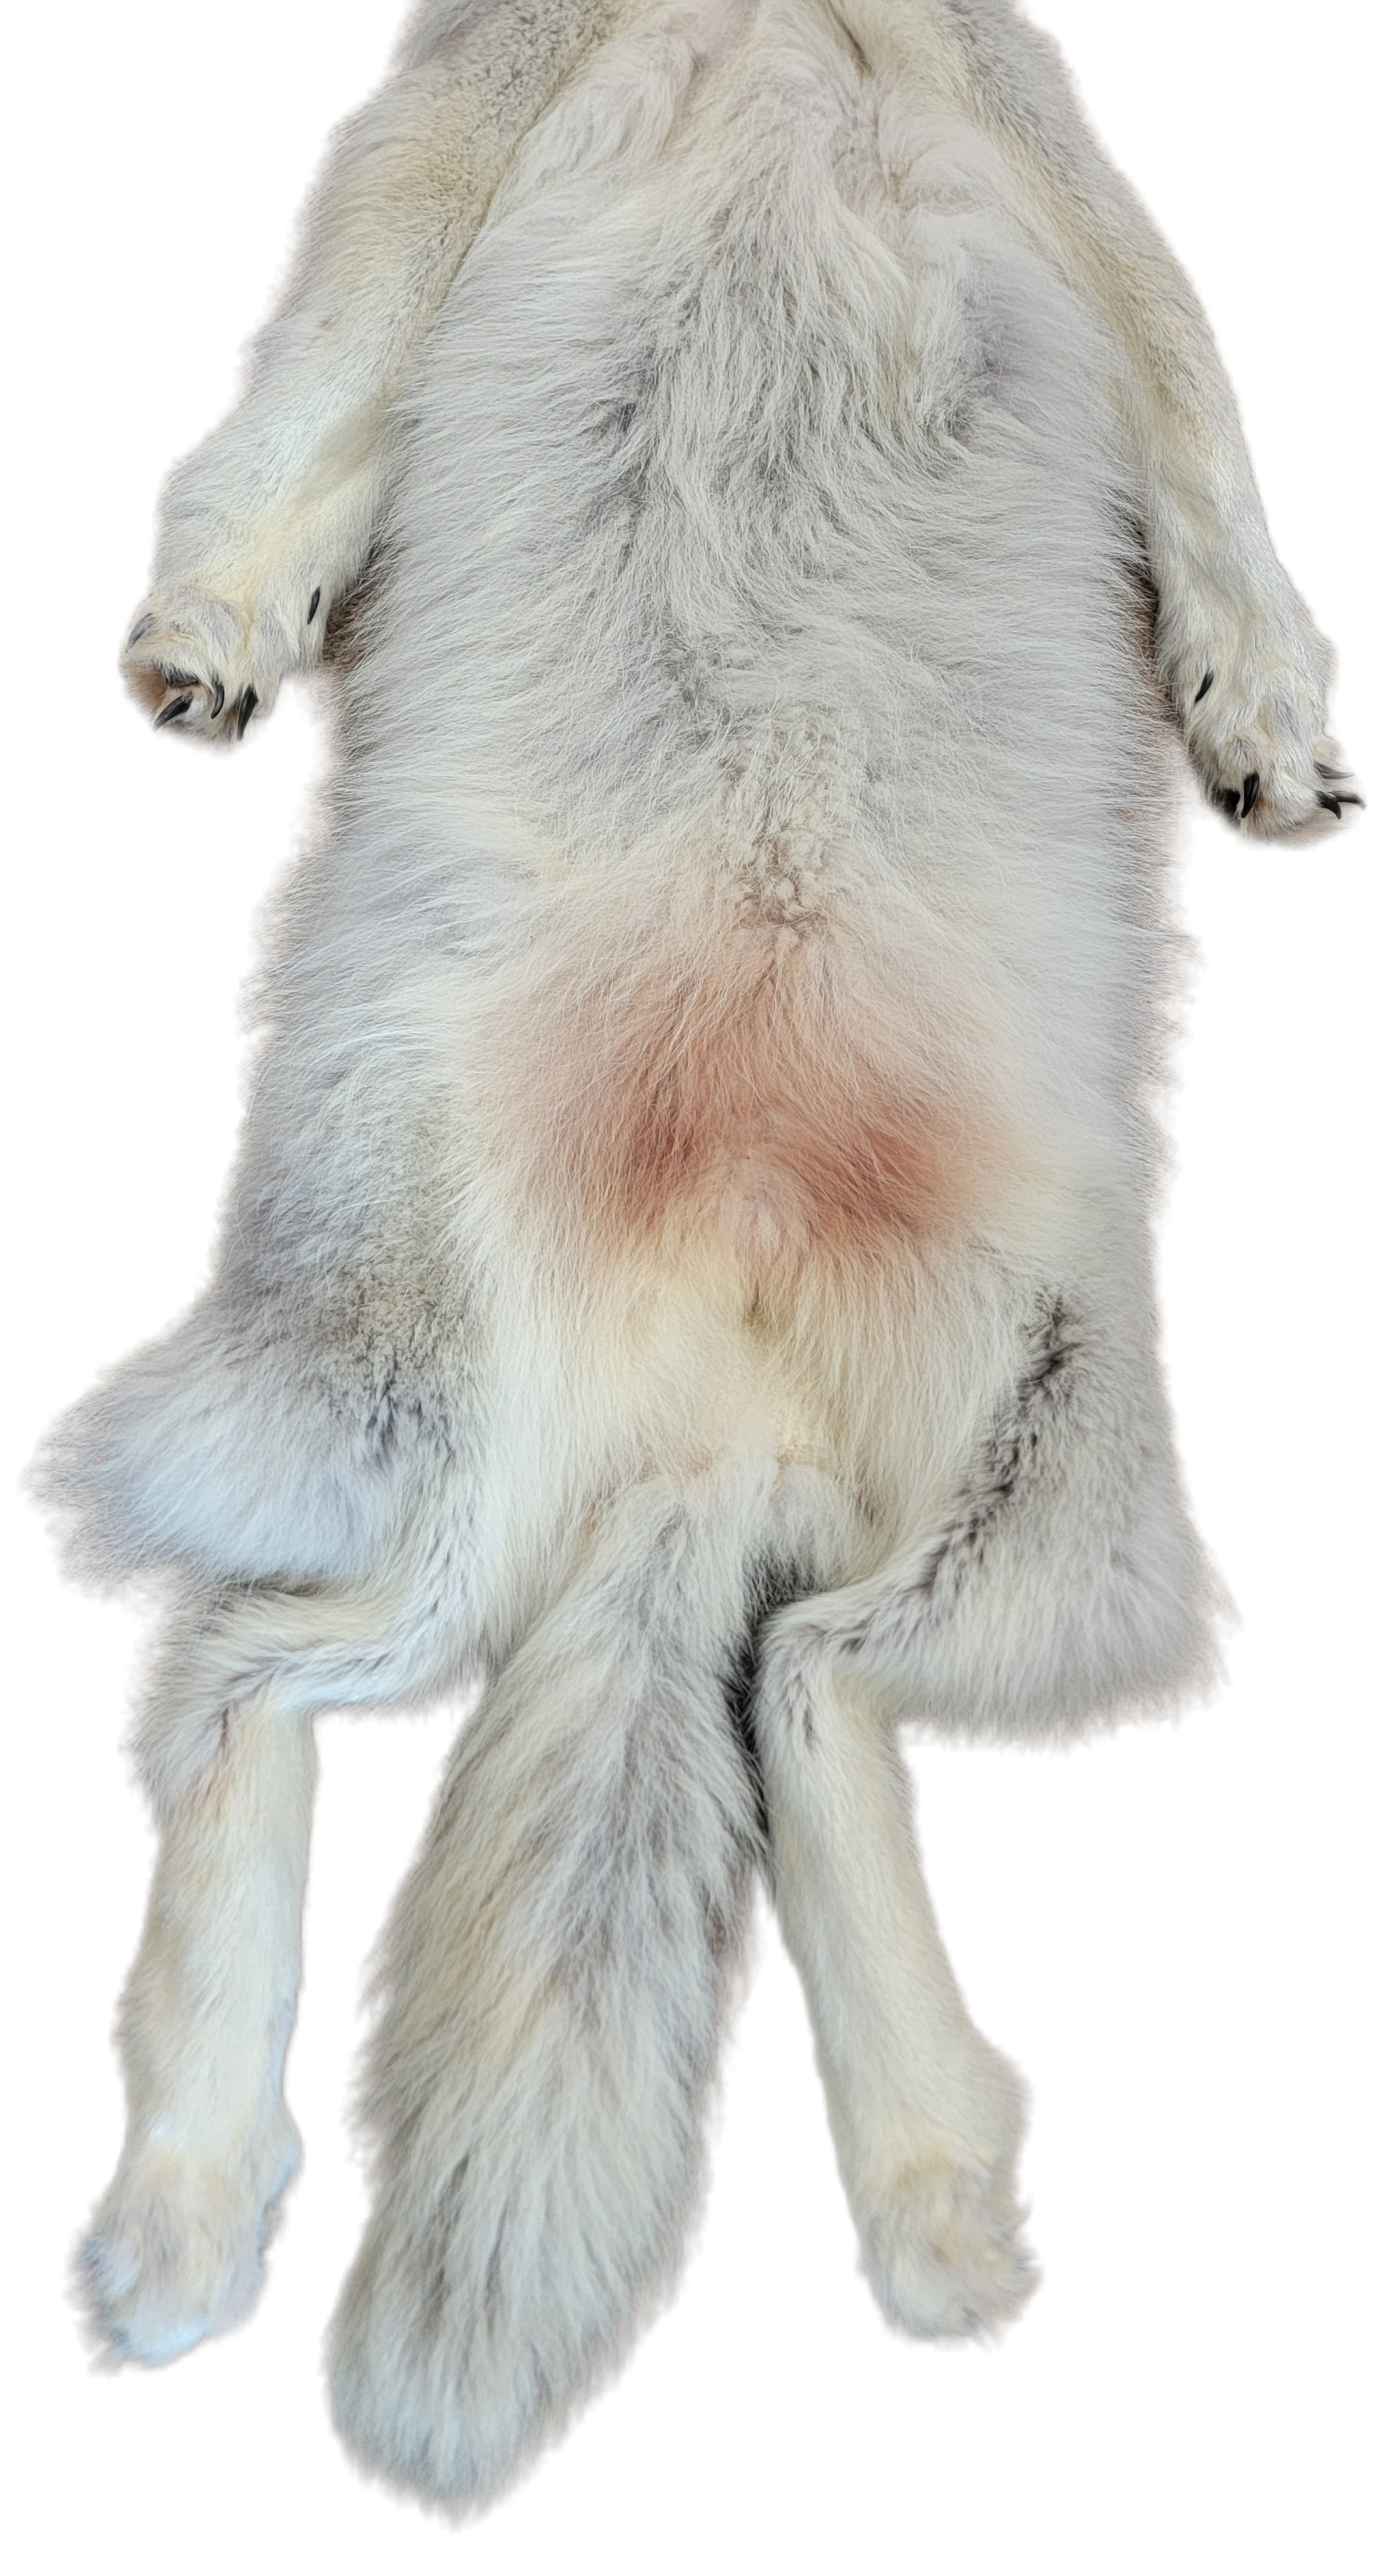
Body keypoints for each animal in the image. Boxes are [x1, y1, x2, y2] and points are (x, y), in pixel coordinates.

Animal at [22, 0, 1364, 2532]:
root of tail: (707, 1390)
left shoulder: (1048, 141)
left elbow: (1207, 451)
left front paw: (1270, 732)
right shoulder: (453, 108)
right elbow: (298, 403)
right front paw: (215, 630)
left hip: (1025, 1483)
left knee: (771, 1682)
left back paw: (925, 2196)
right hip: (519, 1437)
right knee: (275, 1683)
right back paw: (190, 2219)